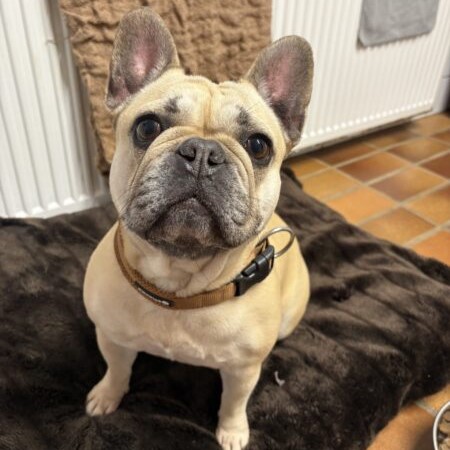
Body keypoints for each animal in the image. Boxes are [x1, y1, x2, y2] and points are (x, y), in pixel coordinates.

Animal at [83, 7, 313, 450]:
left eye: (258, 146)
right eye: (147, 127)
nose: (203, 153)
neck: (180, 286)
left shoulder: (243, 370)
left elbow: (234, 403)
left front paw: (232, 433)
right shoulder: (111, 338)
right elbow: (117, 370)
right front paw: (107, 396)